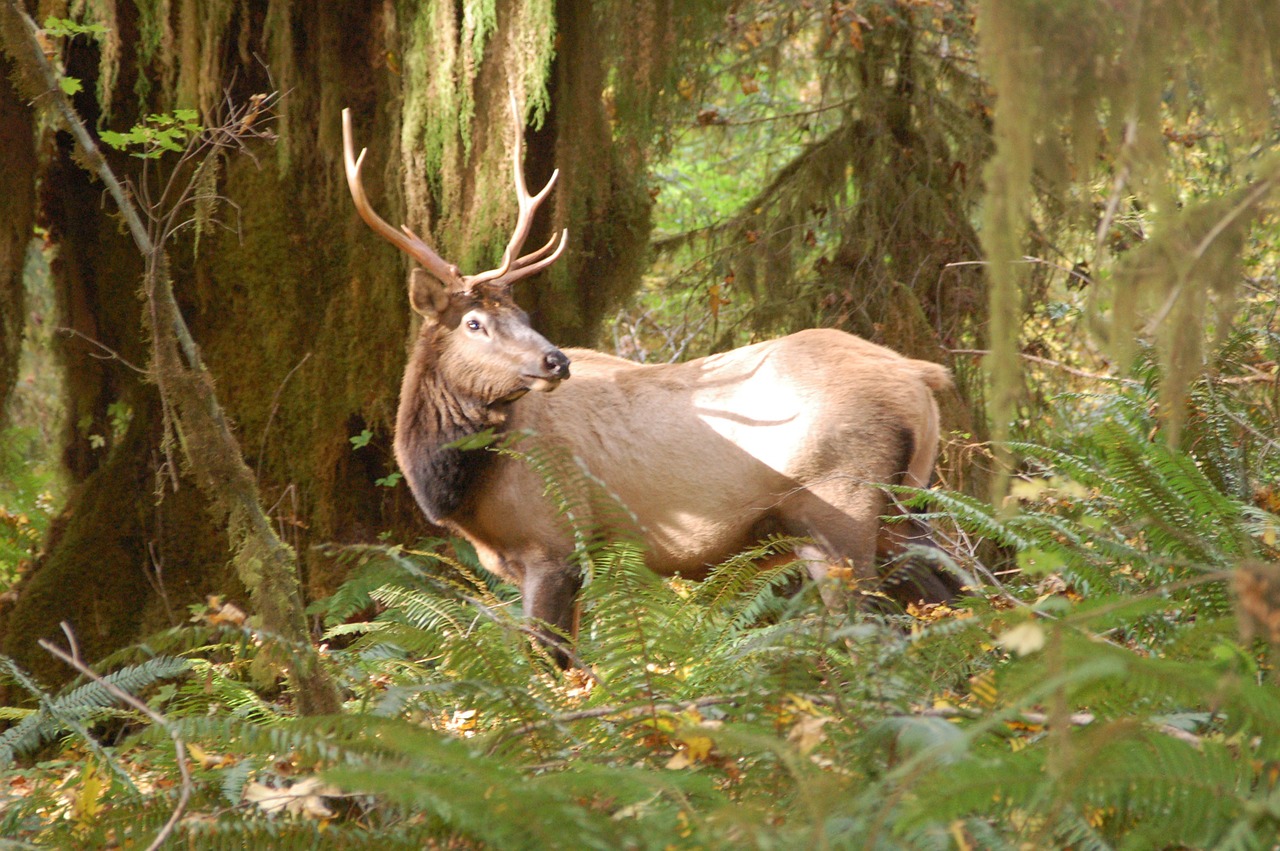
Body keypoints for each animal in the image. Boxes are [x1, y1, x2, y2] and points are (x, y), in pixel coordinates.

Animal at [345, 97, 957, 655]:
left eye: (521, 316)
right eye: (475, 322)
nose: (556, 360)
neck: (459, 487)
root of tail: (920, 377)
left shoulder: (554, 543)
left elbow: (551, 667)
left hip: (842, 508)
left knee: (879, 626)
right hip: (909, 505)